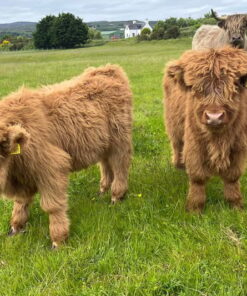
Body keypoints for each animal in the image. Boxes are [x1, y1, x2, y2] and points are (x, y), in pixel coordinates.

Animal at [0, 64, 132, 247]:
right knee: (106, 164)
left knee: (120, 165)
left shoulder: (52, 167)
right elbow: (21, 203)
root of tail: (108, 68)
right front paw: (15, 228)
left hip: (120, 139)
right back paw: (103, 190)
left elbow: (52, 206)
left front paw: (58, 240)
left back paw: (116, 196)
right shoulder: (23, 175)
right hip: (103, 143)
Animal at [164, 47, 247, 212]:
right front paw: (195, 208)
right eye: (194, 87)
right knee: (177, 145)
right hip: (174, 126)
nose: (214, 117)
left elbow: (232, 177)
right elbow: (198, 177)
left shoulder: (238, 146)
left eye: (236, 84)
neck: (218, 140)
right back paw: (179, 165)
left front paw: (235, 205)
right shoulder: (194, 144)